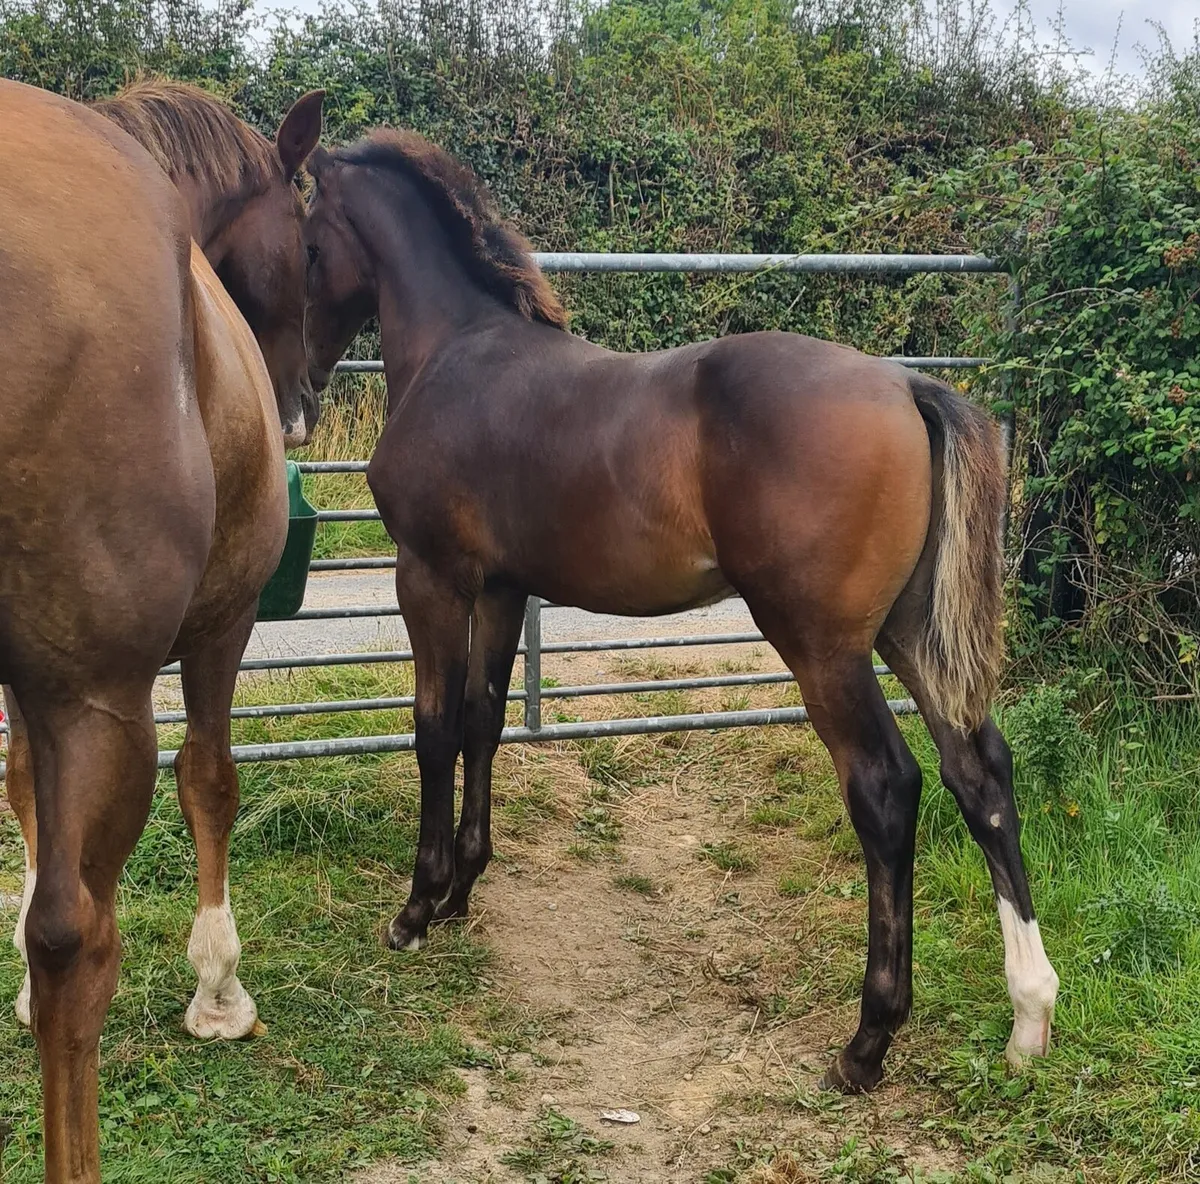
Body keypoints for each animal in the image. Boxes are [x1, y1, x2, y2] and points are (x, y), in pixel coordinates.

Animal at [0, 78, 319, 1181]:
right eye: (310, 240)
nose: (303, 406)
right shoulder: (218, 627)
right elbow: (211, 780)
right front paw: (220, 989)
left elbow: (20, 789)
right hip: (103, 700)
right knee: (75, 943)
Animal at [301, 128, 1060, 1094]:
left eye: (306, 236)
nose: (303, 377)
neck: (457, 352)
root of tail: (907, 390)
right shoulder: (502, 587)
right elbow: (482, 722)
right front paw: (464, 890)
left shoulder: (429, 576)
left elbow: (433, 728)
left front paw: (416, 906)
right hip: (909, 631)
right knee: (980, 775)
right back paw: (1029, 1016)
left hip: (825, 648)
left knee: (889, 791)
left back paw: (866, 1044)